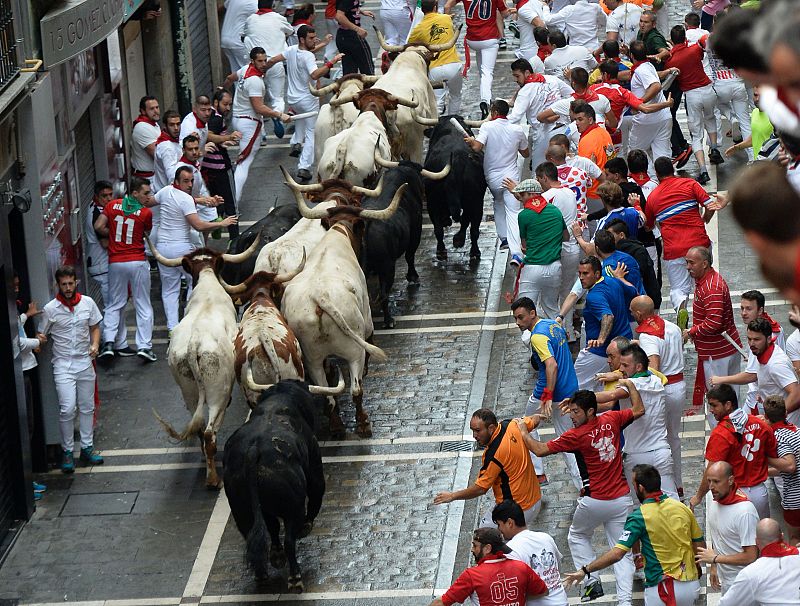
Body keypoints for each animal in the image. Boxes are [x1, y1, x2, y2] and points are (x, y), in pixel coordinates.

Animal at [222, 382, 324, 592]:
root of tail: (253, 450)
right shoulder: (314, 461)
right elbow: (317, 492)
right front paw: (307, 527)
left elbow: (272, 527)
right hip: (293, 507)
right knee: (289, 541)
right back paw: (295, 578)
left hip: (241, 509)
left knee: (257, 535)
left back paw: (263, 573)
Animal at [282, 169, 406, 440]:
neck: (338, 233)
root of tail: (320, 298)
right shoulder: (367, 317)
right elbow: (371, 337)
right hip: (353, 351)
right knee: (356, 388)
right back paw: (363, 424)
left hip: (313, 358)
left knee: (328, 393)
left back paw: (337, 426)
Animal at [424, 117, 488, 262]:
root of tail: (457, 158)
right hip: (476, 200)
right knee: (472, 227)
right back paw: (472, 250)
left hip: (433, 201)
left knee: (440, 228)